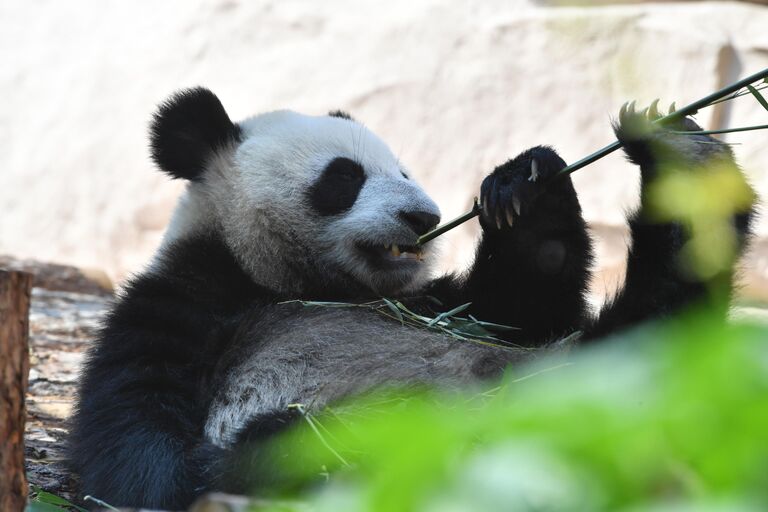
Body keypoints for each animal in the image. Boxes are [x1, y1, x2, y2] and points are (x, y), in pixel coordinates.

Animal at [69, 88, 752, 508]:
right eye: (344, 177)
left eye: (403, 169)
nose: (423, 217)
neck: (294, 283)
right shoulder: (180, 307)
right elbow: (146, 472)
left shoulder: (436, 304)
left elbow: (523, 304)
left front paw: (524, 185)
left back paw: (685, 161)